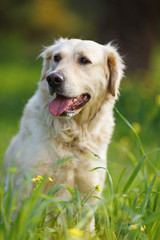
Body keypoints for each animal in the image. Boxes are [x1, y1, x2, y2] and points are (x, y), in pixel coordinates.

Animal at [3, 39, 124, 204]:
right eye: (57, 58)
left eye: (84, 60)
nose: (53, 79)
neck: (71, 135)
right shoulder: (25, 183)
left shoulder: (89, 190)